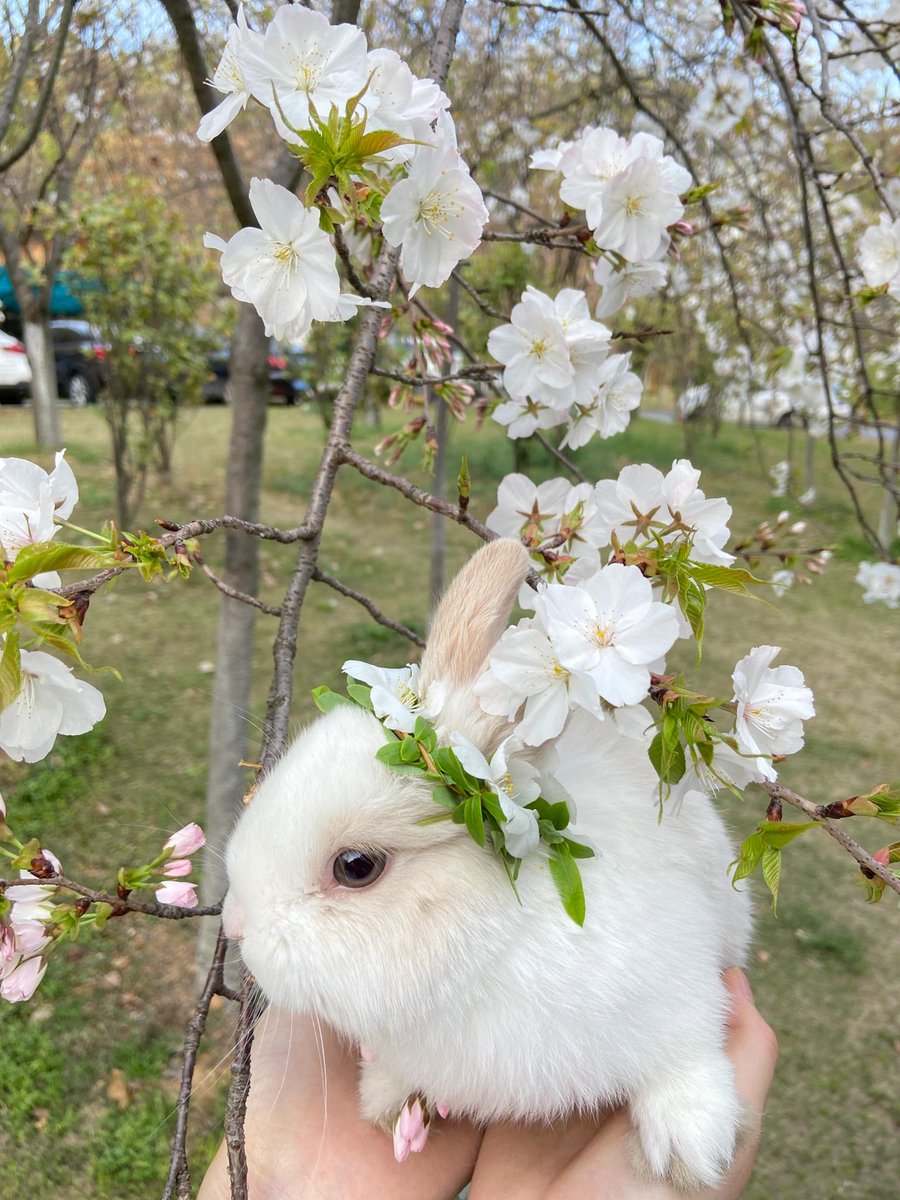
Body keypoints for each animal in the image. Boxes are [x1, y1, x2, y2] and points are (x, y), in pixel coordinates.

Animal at [223, 537, 752, 1190]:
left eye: (355, 867)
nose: (234, 922)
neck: (490, 942)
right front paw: (388, 1099)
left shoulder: (677, 988)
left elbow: (687, 1053)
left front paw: (690, 1150)